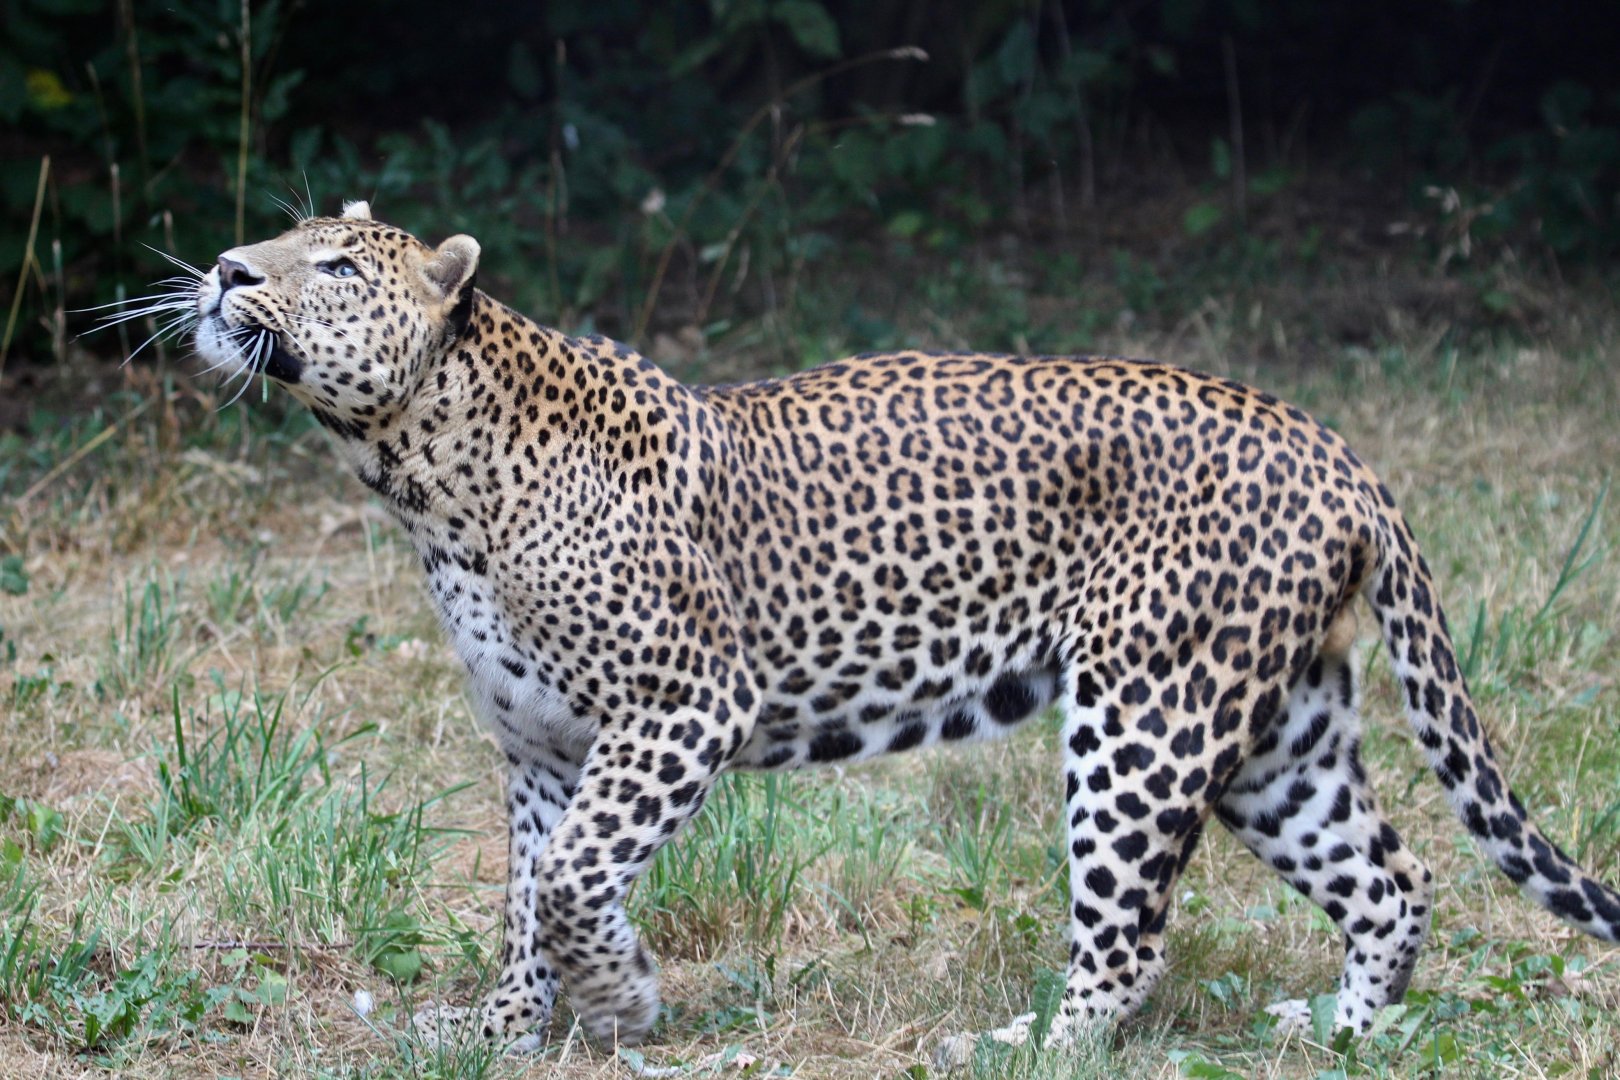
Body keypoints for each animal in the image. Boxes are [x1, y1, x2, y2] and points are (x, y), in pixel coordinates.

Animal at [183, 200, 1620, 1052]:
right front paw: (505, 1034)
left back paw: (1030, 1050)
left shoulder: (684, 705)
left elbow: (577, 878)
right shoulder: (540, 749)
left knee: (1132, 936)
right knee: (1394, 875)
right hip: (1274, 731)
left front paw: (630, 1001)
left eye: (333, 266)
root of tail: (1335, 448)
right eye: (281, 241)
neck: (422, 478)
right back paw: (1344, 1031)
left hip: (1145, 719)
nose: (222, 268)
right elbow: (532, 895)